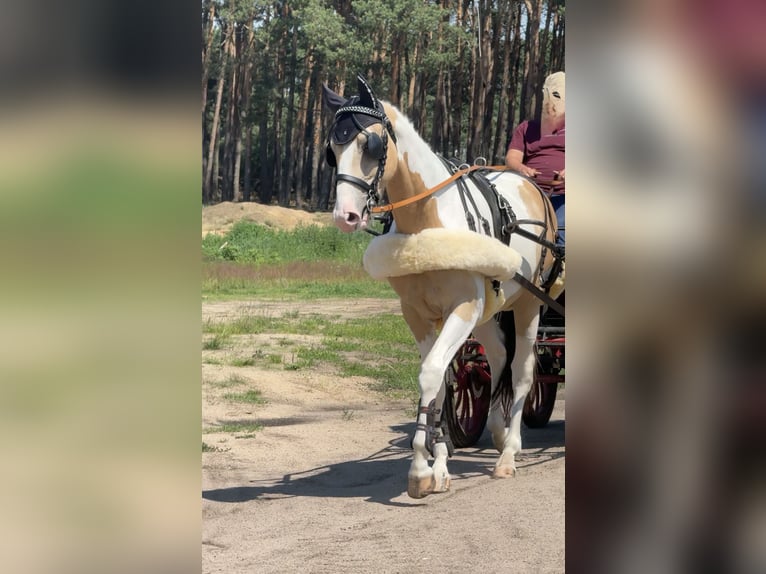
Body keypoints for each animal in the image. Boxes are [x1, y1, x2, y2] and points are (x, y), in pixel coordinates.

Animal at [323, 75, 563, 499]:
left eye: (370, 145)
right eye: (331, 151)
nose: (345, 215)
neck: (427, 221)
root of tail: (532, 186)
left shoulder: (463, 306)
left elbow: (433, 372)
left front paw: (423, 468)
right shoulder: (418, 313)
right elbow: (435, 381)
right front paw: (436, 463)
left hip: (527, 303)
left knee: (522, 370)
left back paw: (509, 453)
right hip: (491, 308)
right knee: (497, 357)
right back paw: (497, 430)